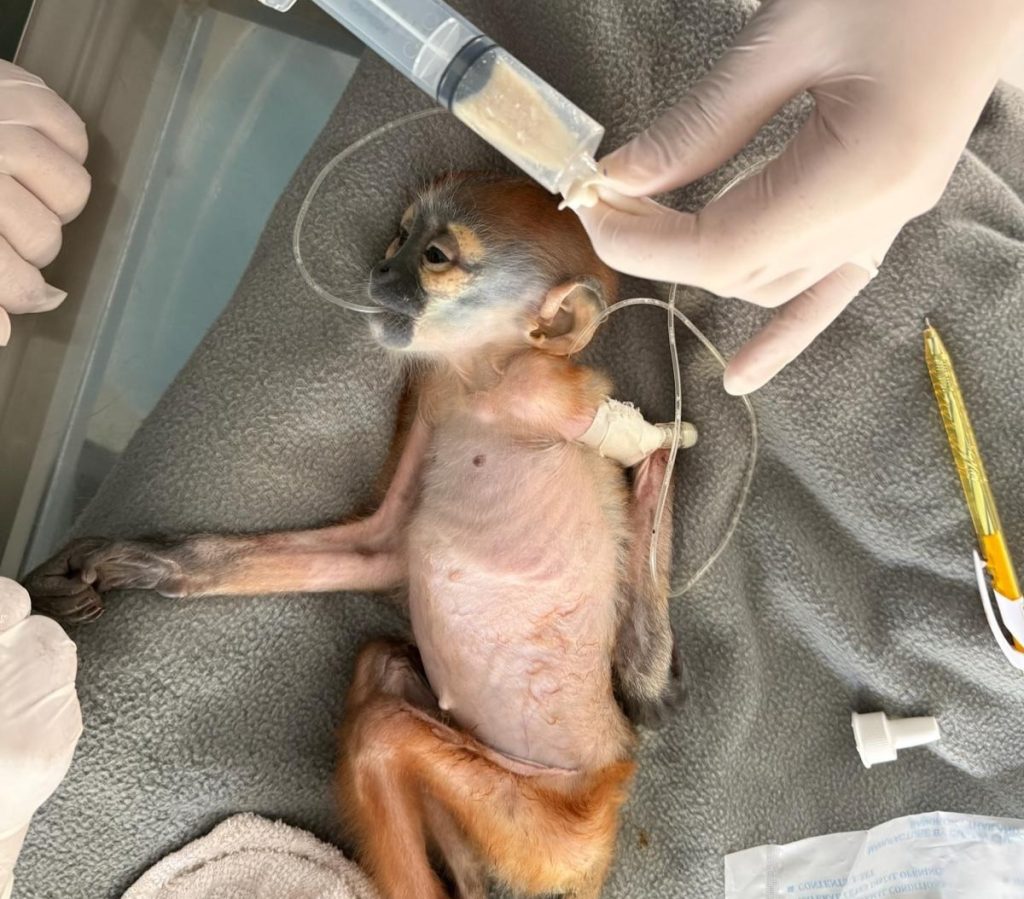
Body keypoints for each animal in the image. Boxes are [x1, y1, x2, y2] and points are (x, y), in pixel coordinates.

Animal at [24, 173, 689, 898]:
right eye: (400, 236)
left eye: (434, 256)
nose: (381, 270)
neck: (478, 384)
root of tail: (606, 809)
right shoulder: (433, 396)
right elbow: (383, 549)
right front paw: (138, 563)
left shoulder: (545, 391)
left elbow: (648, 447)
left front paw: (649, 679)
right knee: (382, 670)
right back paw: (469, 878)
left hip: (550, 818)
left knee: (383, 732)